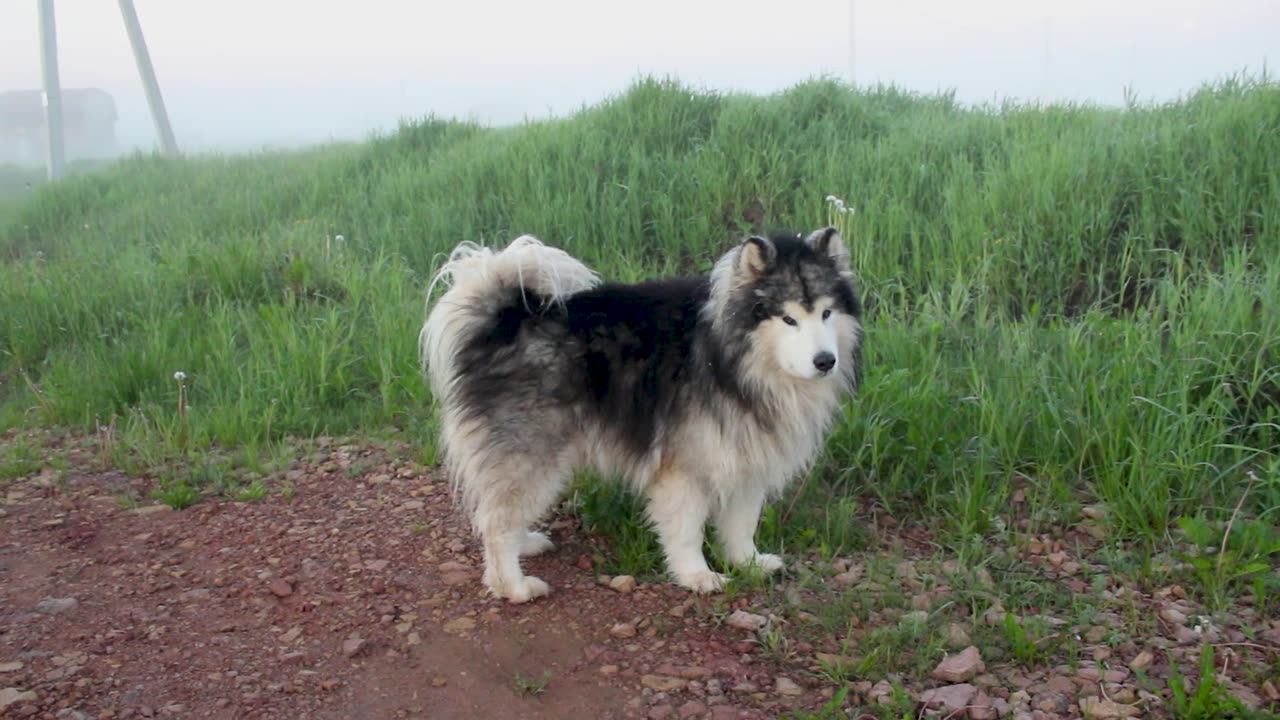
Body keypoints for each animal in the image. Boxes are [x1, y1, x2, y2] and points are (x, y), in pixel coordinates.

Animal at [419, 224, 860, 599]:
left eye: (825, 313)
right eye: (788, 319)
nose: (825, 361)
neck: (734, 360)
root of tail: (501, 320)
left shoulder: (747, 457)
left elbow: (741, 523)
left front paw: (747, 562)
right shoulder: (686, 467)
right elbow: (687, 530)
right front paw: (697, 575)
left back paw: (525, 542)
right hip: (532, 452)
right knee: (496, 522)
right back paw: (513, 586)